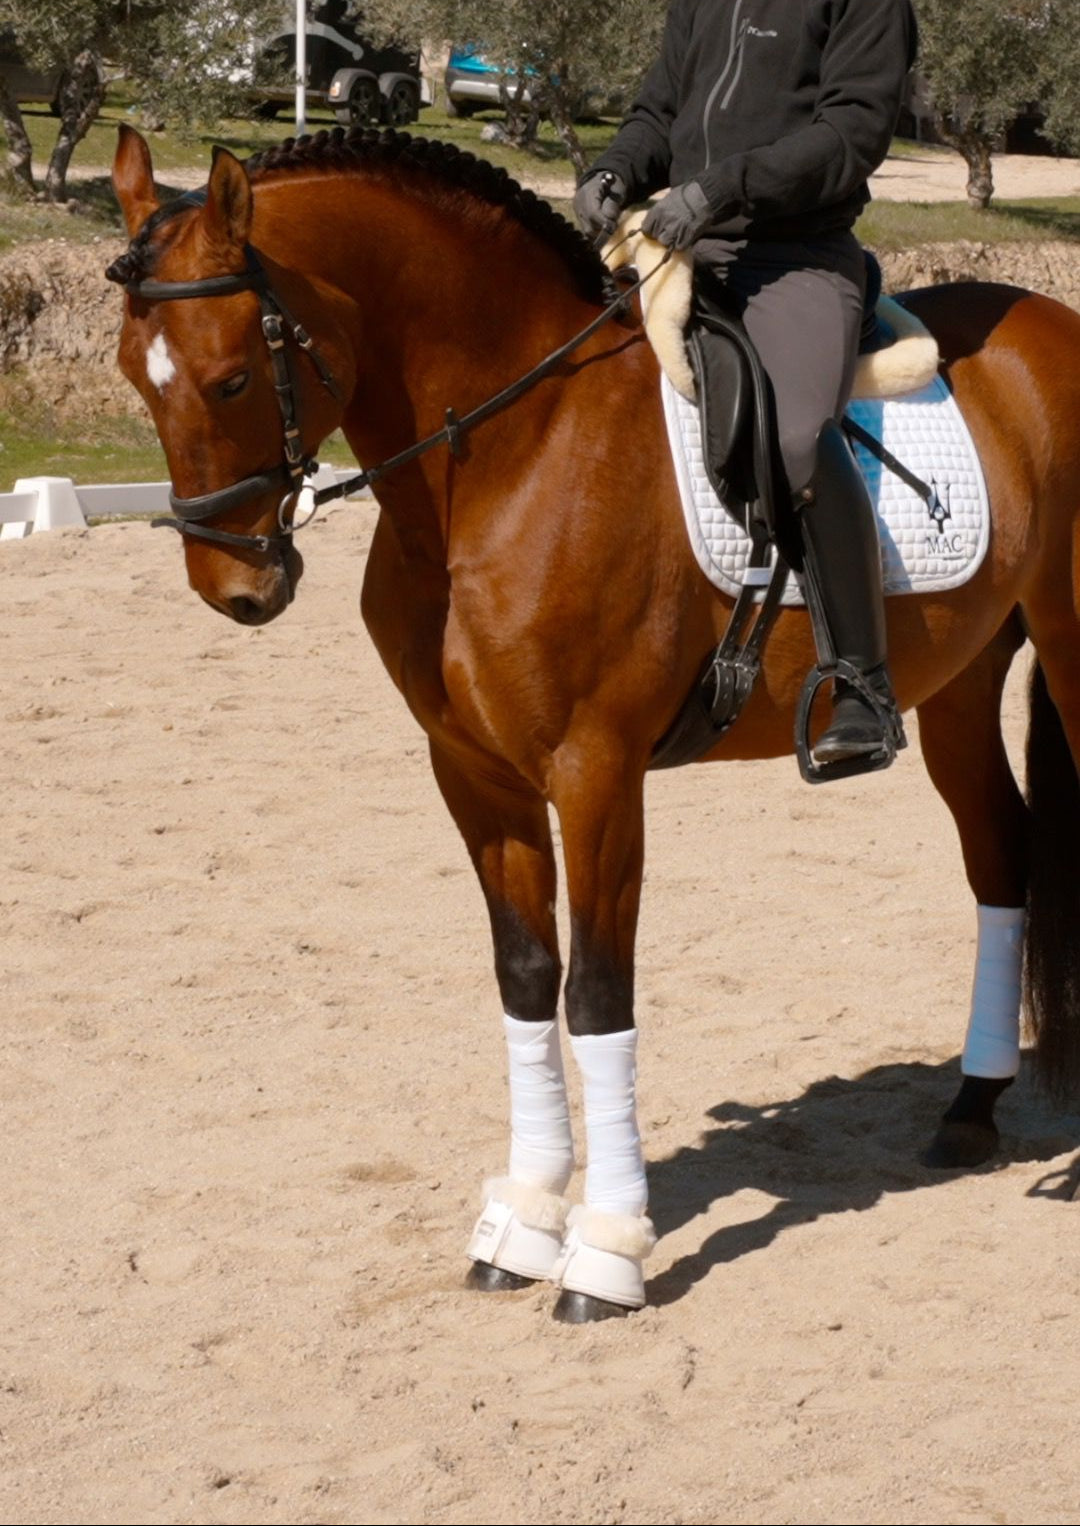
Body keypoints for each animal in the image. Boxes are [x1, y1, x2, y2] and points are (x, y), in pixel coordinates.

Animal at [107, 122, 1080, 1321]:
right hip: (954, 683)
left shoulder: (597, 772)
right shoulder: (476, 773)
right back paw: (971, 1110)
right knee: (999, 857)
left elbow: (598, 991)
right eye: (131, 375)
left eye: (233, 376)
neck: (511, 452)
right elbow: (527, 978)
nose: (234, 591)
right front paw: (524, 1223)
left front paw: (607, 1254)